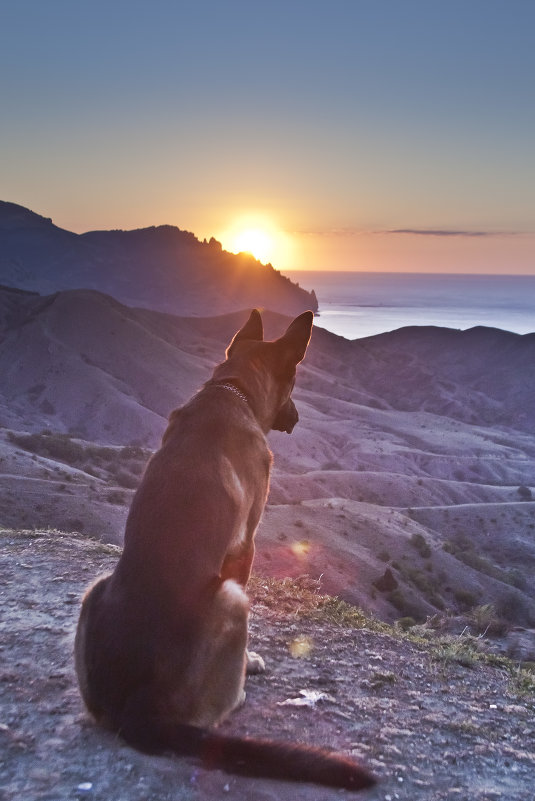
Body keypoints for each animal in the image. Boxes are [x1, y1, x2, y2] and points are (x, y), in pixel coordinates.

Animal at [74, 310, 376, 792]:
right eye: (294, 384)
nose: (297, 417)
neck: (232, 389)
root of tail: (137, 708)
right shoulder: (245, 545)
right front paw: (250, 660)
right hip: (233, 601)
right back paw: (242, 682)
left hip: (96, 587)